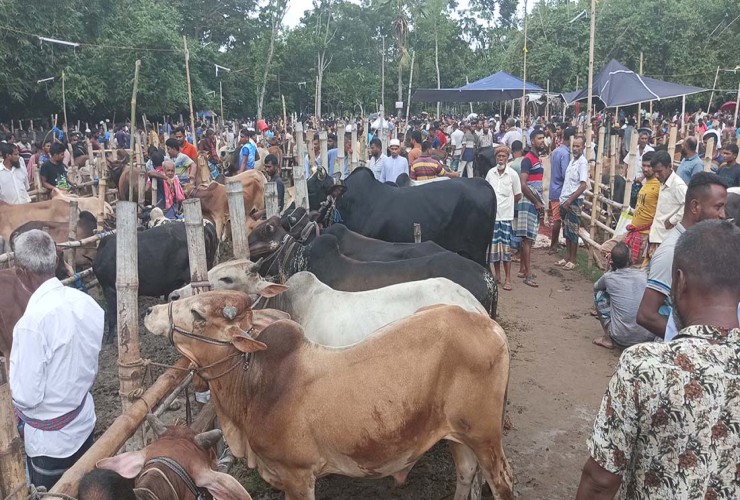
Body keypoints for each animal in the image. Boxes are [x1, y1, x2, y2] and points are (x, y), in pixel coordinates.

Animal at [145, 292, 516, 500]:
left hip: (485, 436)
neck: (254, 385)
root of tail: (488, 324)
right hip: (458, 434)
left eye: (197, 314)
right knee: (466, 473)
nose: (150, 312)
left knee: (501, 483)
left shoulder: (298, 476)